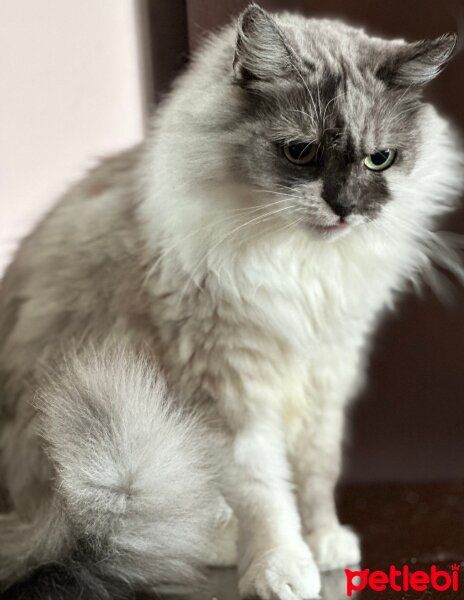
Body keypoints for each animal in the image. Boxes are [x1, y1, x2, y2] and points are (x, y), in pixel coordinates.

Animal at [0, 4, 464, 600]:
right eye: (301, 152)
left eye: (379, 160)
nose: (344, 207)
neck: (298, 264)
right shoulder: (230, 389)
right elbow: (265, 497)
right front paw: (281, 569)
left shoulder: (326, 377)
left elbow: (316, 476)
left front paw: (325, 541)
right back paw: (215, 541)